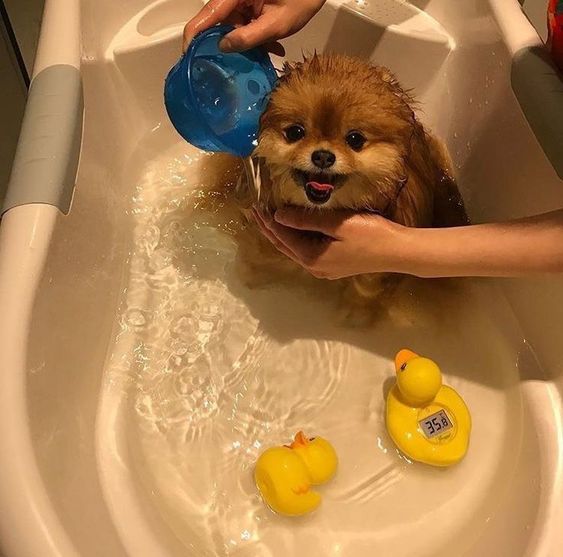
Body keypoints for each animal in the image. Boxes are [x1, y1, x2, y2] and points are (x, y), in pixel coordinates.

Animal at [204, 54, 468, 324]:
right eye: (295, 132)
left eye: (355, 139)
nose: (322, 156)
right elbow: (259, 257)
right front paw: (252, 276)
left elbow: (366, 288)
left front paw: (356, 314)